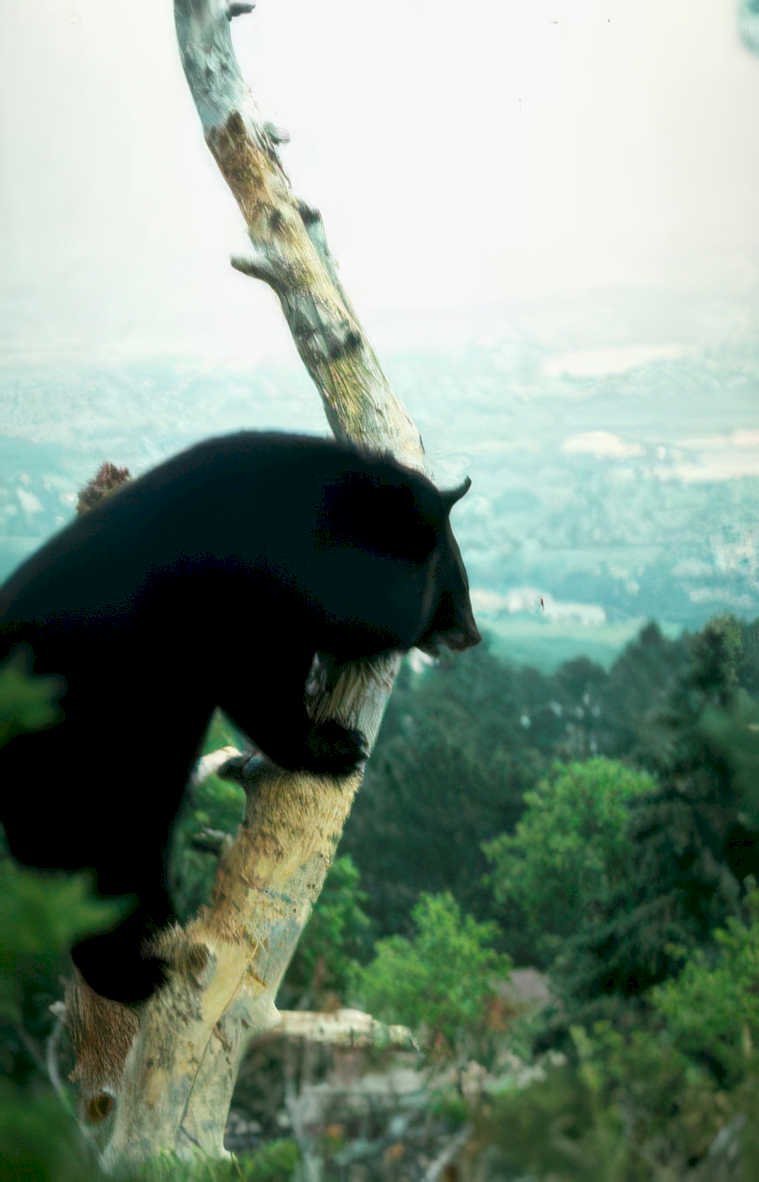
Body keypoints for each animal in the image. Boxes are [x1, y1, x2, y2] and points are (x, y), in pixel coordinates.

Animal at [0, 431, 479, 1003]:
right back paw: (133, 973)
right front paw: (336, 747)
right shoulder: (242, 607)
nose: (473, 634)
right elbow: (261, 688)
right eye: (450, 576)